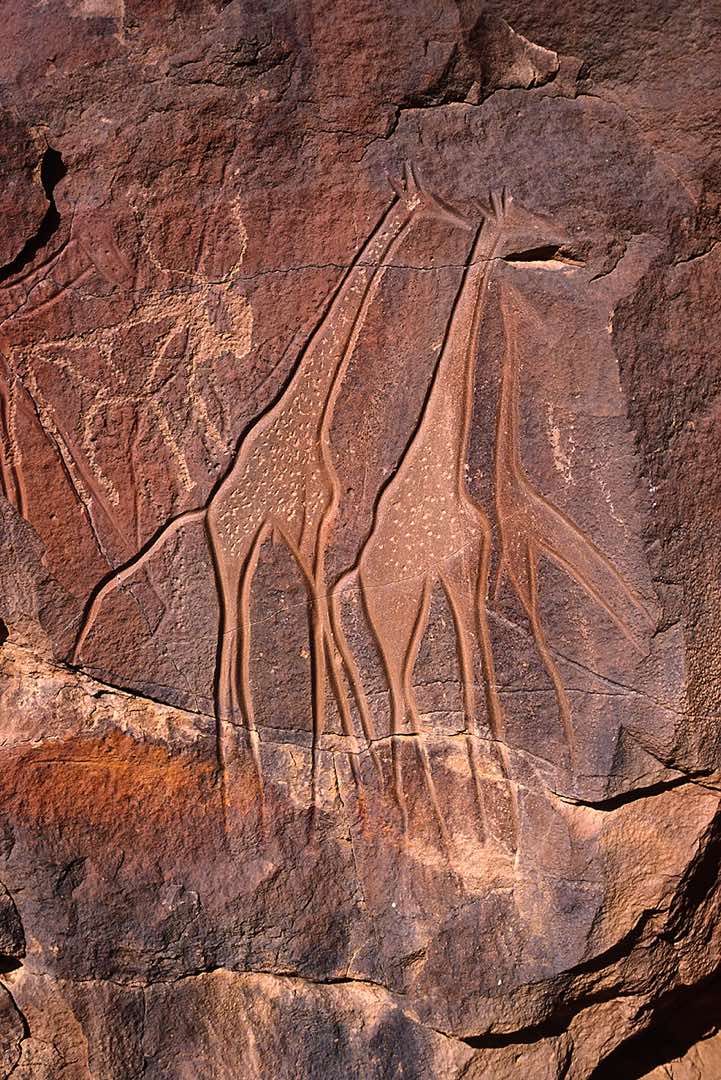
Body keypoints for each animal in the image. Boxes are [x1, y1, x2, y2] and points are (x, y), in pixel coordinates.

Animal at [72, 163, 471, 818]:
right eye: (427, 200)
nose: (461, 218)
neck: (308, 415)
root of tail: (207, 512)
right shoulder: (308, 527)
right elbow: (316, 623)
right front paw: (330, 770)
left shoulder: (313, 528)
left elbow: (319, 624)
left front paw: (346, 765)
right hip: (235, 546)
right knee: (230, 644)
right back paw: (243, 770)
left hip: (241, 548)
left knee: (231, 641)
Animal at [330, 190, 568, 846]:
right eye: (525, 219)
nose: (561, 240)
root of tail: (357, 580)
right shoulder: (461, 568)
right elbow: (472, 667)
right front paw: (495, 810)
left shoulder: (467, 568)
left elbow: (475, 668)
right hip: (398, 612)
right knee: (398, 693)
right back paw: (418, 811)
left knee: (399, 691)